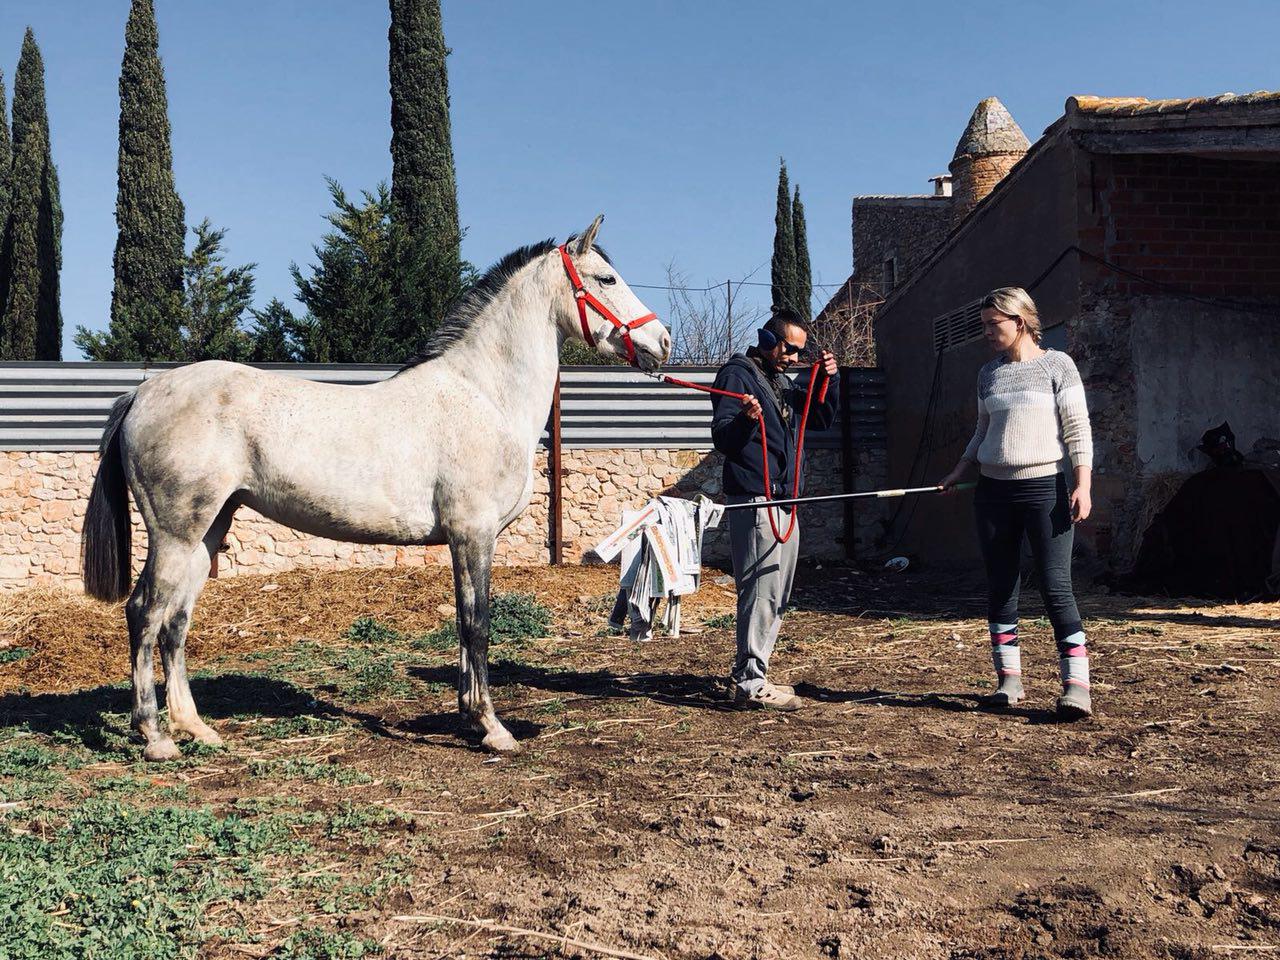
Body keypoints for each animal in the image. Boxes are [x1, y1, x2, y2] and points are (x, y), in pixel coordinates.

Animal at [82, 216, 670, 757]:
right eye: (606, 278)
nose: (661, 341)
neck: (483, 395)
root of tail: (143, 393)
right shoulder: (473, 533)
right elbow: (476, 623)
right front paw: (493, 729)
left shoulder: (463, 539)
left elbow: (465, 625)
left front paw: (469, 717)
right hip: (175, 533)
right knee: (144, 612)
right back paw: (155, 737)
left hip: (208, 531)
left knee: (176, 622)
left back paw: (197, 728)